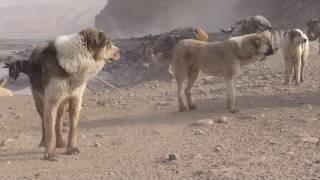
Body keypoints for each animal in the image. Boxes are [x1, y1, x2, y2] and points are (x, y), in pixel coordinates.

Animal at [28, 28, 120, 160]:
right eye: (108, 42)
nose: (120, 51)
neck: (76, 58)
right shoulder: (51, 101)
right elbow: (50, 130)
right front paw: (49, 153)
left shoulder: (76, 99)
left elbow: (73, 128)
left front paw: (72, 149)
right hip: (40, 101)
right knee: (44, 123)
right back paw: (43, 143)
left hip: (63, 103)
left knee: (59, 121)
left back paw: (60, 142)